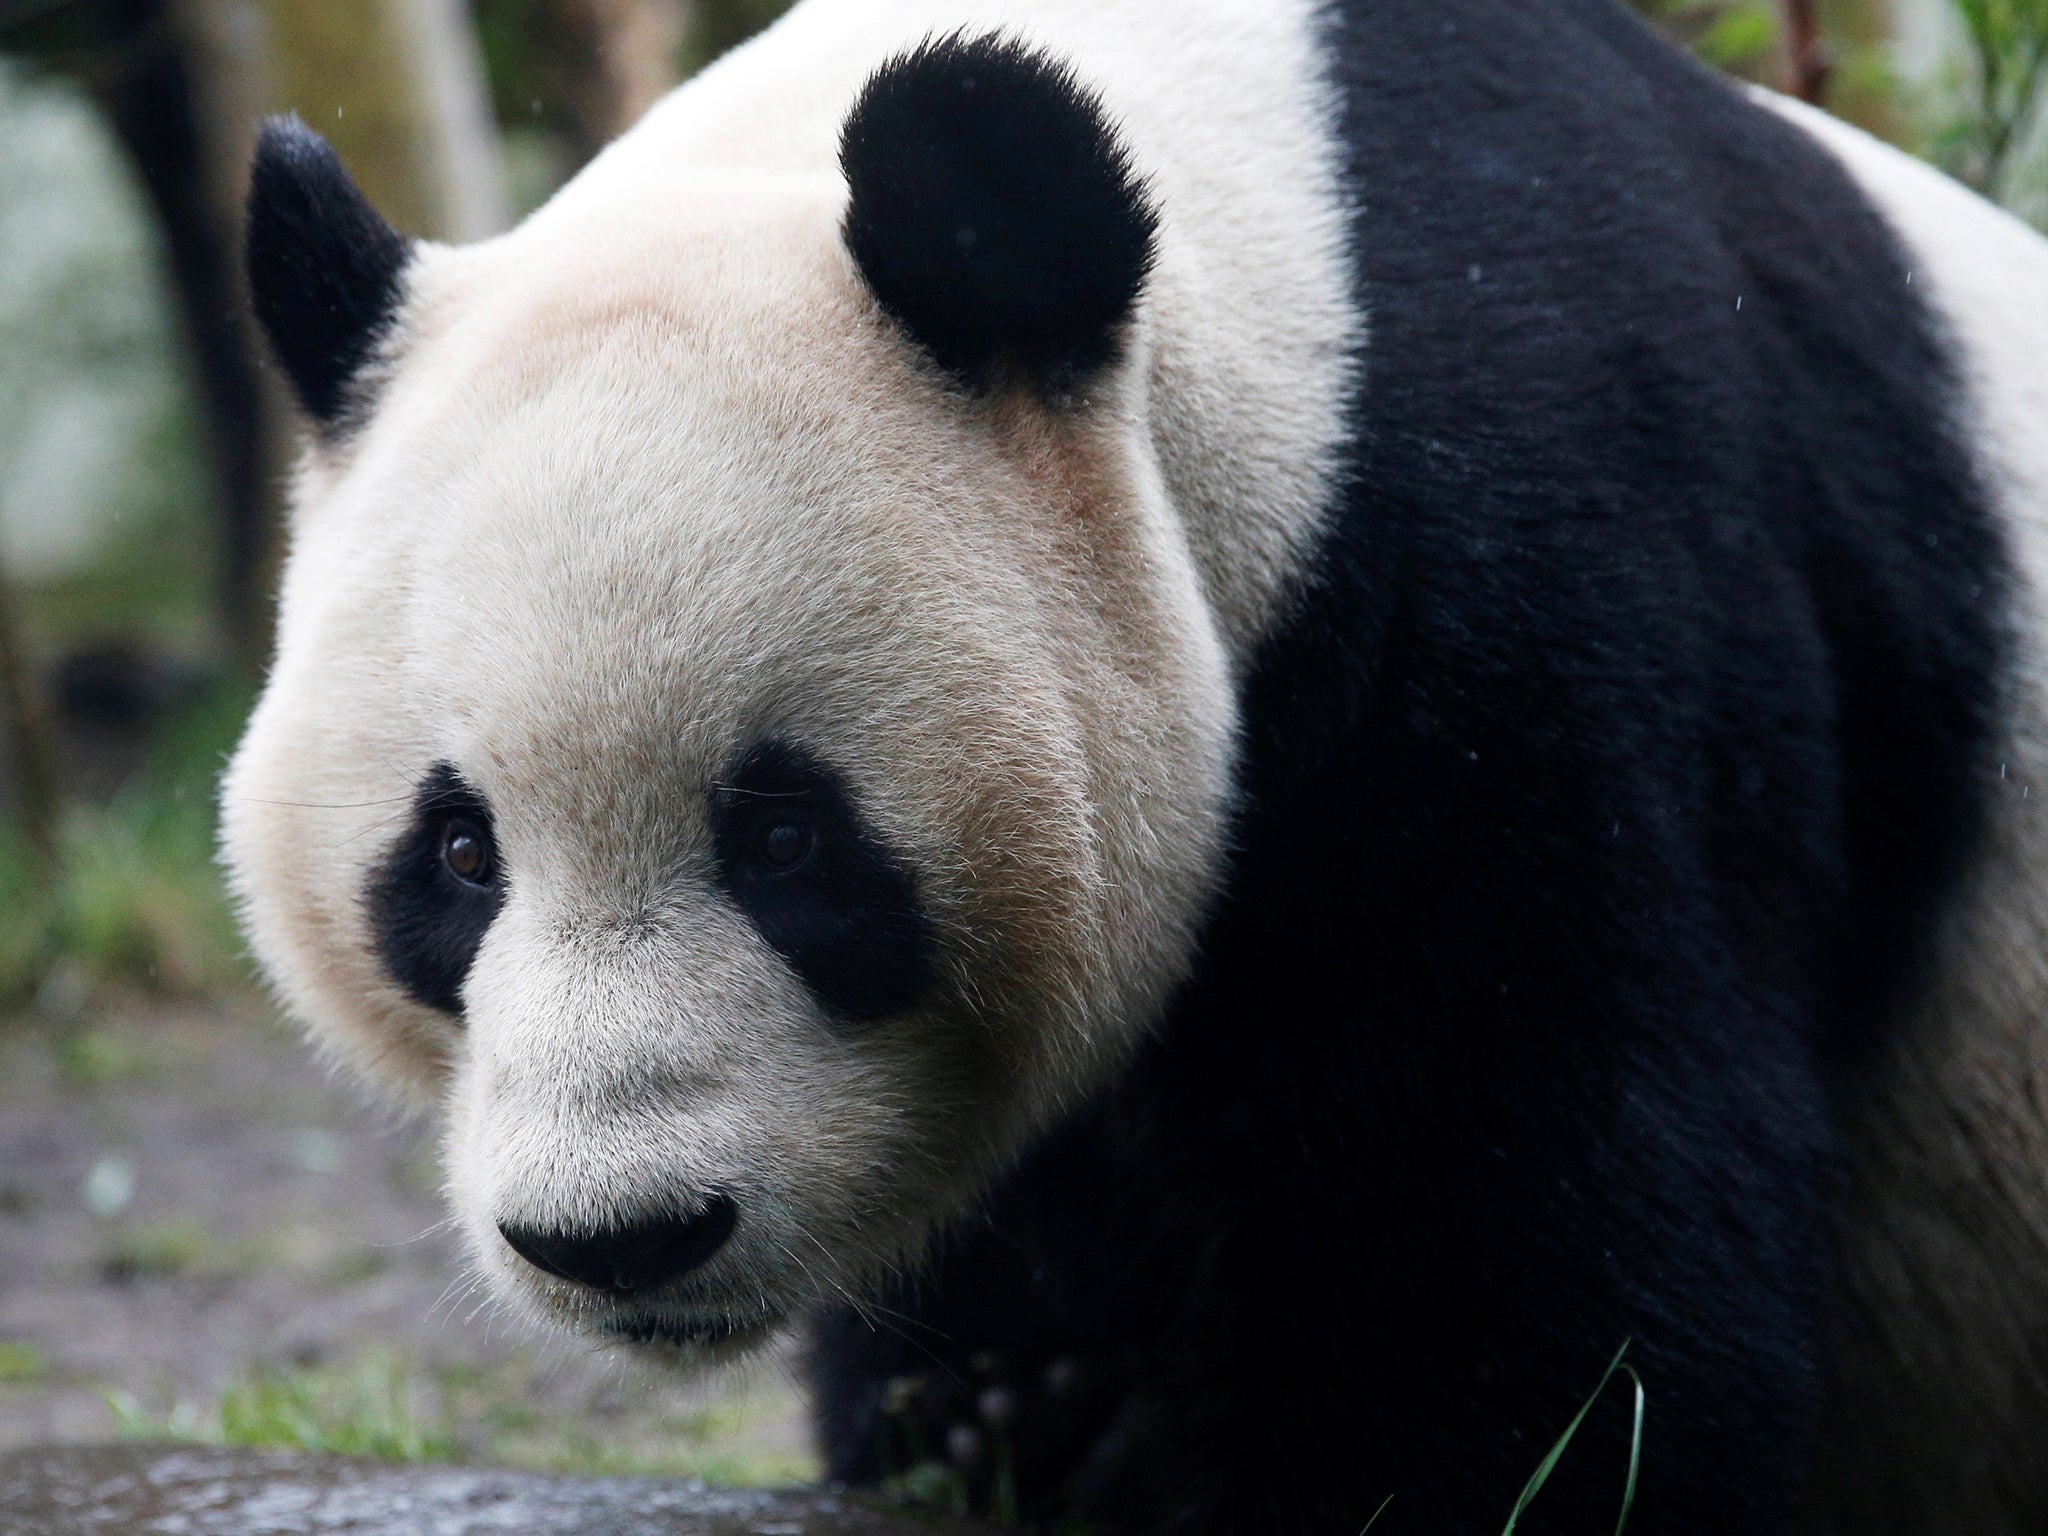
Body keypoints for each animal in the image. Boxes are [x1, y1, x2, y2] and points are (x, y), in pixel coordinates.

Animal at [216, 0, 2048, 1531]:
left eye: (788, 839)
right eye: (457, 856)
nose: (621, 1235)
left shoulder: (1565, 570)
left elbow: (1550, 1206)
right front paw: (1002, 1415)